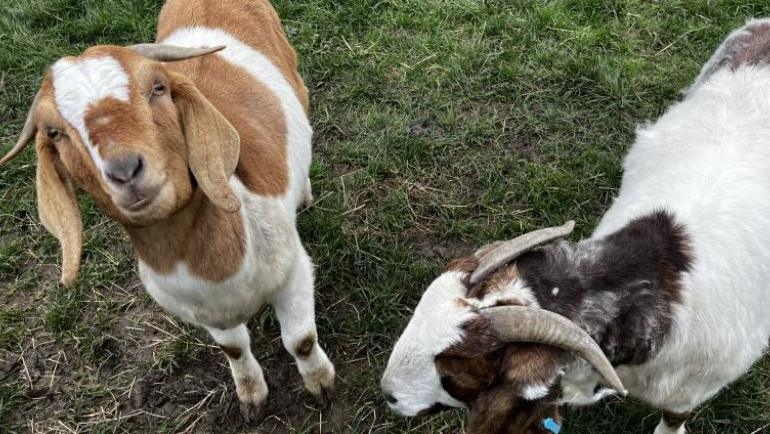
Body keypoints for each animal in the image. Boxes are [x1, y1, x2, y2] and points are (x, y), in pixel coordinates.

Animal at [3, 0, 332, 420]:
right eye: (54, 132)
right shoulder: (202, 312)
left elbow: (300, 340)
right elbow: (234, 349)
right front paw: (251, 397)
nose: (126, 170)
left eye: (157, 87)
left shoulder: (293, 272)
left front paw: (321, 385)